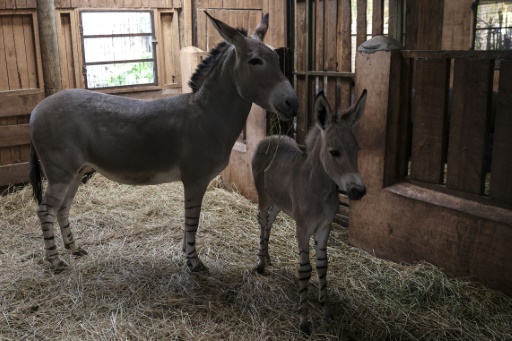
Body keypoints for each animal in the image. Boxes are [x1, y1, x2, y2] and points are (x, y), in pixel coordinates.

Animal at [28, 11, 298, 274]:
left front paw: (186, 254)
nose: (292, 103)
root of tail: (36, 109)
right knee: (45, 210)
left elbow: (188, 222)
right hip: (61, 173)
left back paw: (73, 248)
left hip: (74, 173)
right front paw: (194, 263)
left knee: (62, 208)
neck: (206, 114)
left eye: (277, 59)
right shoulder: (195, 180)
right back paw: (55, 262)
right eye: (255, 61)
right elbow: (193, 221)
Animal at [251, 89, 364, 332]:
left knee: (269, 222)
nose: (359, 191)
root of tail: (270, 137)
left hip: (279, 201)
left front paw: (326, 308)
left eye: (357, 150)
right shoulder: (302, 230)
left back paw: (268, 258)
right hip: (264, 197)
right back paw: (261, 263)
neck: (319, 188)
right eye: (334, 152)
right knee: (261, 220)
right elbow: (305, 270)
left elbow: (323, 266)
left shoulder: (324, 228)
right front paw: (304, 320)